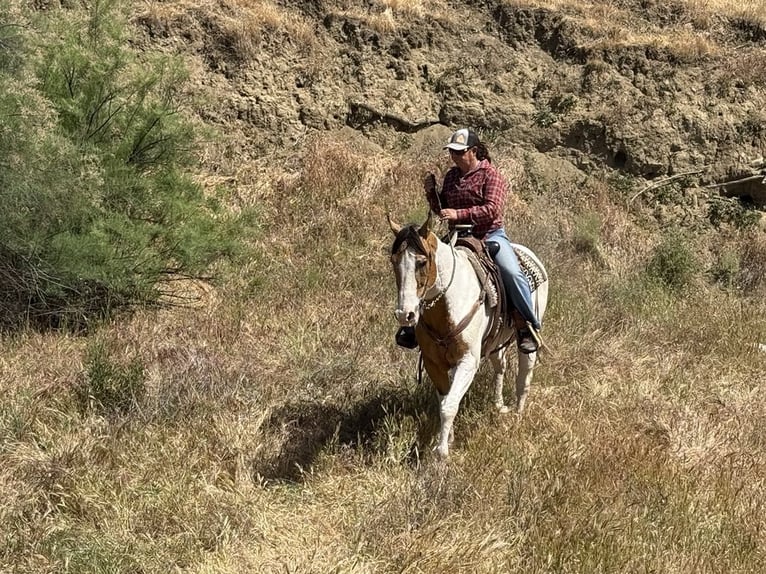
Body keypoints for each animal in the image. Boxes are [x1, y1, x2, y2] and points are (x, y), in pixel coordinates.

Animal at [388, 213, 549, 458]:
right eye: (394, 261)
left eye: (422, 262)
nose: (405, 315)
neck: (449, 304)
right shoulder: (434, 364)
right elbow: (445, 401)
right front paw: (449, 438)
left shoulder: (467, 362)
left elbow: (449, 406)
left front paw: (441, 452)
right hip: (495, 342)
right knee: (500, 366)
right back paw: (498, 405)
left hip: (529, 335)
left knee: (525, 374)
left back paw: (518, 415)